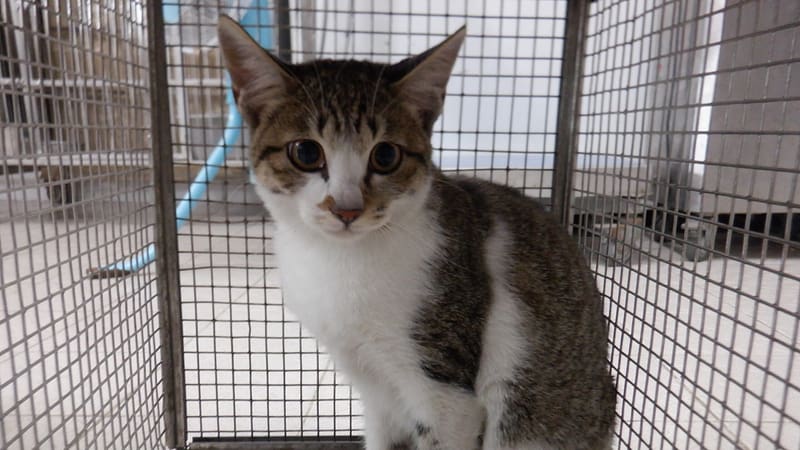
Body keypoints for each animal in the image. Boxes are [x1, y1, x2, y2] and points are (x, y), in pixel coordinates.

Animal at [218, 15, 616, 450]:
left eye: (386, 155)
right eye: (305, 152)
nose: (346, 208)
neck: (341, 264)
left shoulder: (446, 390)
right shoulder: (373, 386)